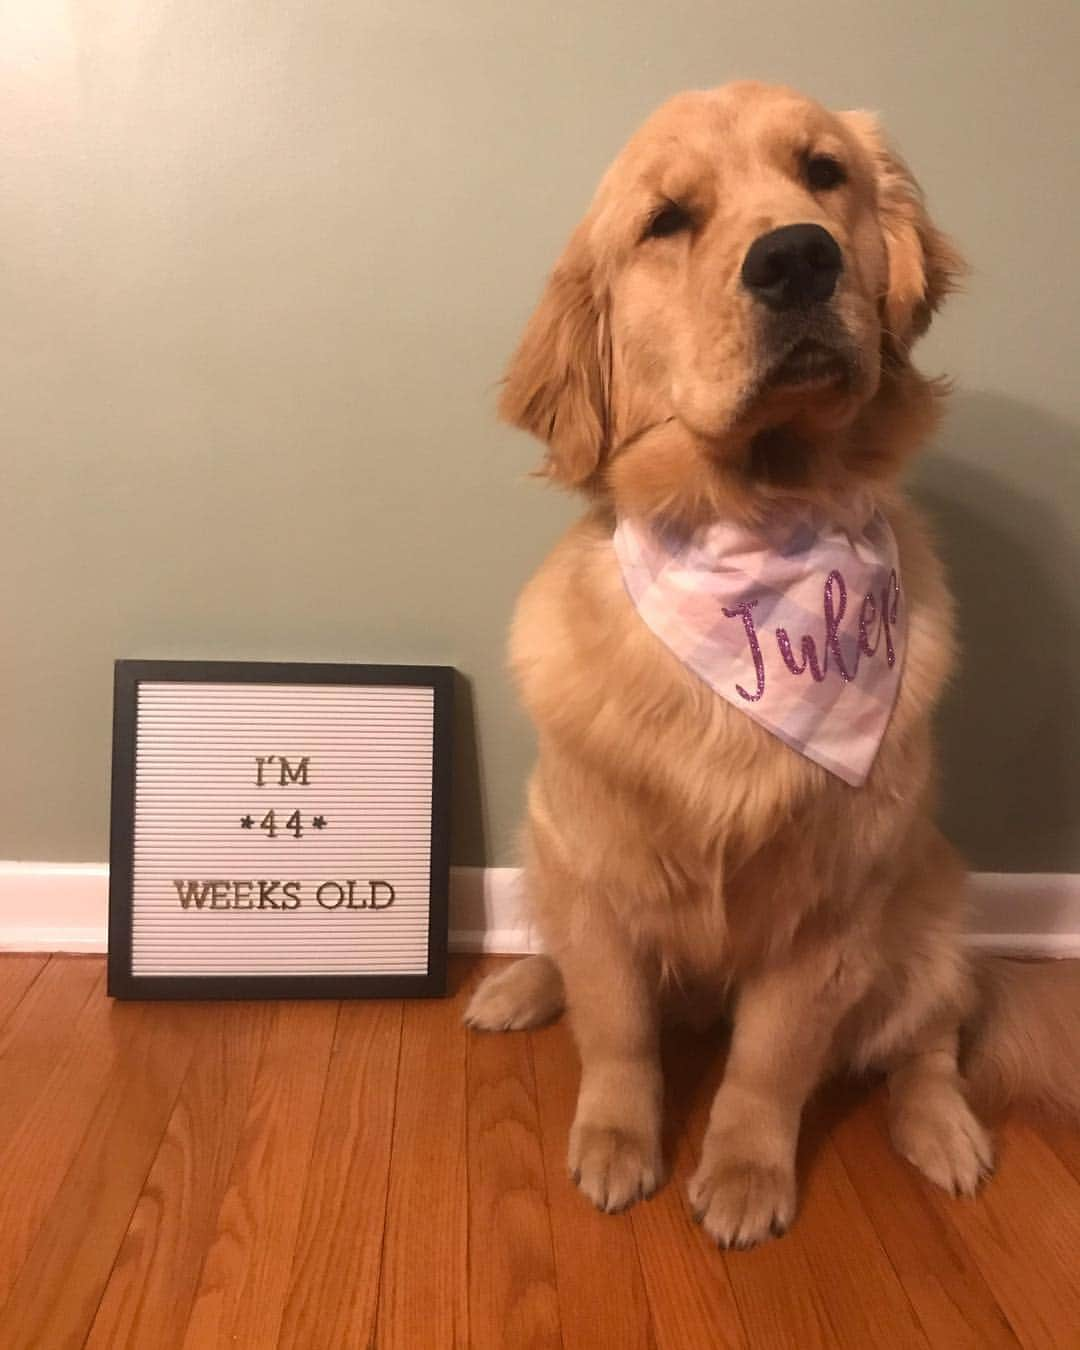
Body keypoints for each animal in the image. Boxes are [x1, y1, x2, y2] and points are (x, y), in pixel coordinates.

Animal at [467, 81, 1080, 1242]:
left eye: (823, 173)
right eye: (667, 221)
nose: (796, 258)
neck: (751, 523)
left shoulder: (828, 911)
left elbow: (771, 1061)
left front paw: (747, 1172)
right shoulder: (596, 868)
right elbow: (617, 1028)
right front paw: (616, 1140)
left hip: (930, 921)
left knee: (929, 1044)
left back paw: (944, 1133)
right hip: (544, 842)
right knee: (566, 958)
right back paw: (518, 988)